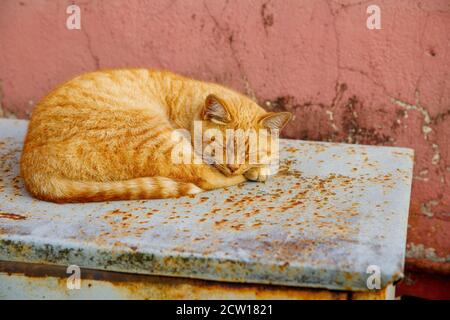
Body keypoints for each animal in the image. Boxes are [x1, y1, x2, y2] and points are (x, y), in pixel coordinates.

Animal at [22, 69, 292, 204]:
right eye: (222, 146)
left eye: (249, 152)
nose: (235, 166)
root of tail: (32, 169)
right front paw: (257, 170)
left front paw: (261, 165)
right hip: (157, 140)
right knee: (203, 177)